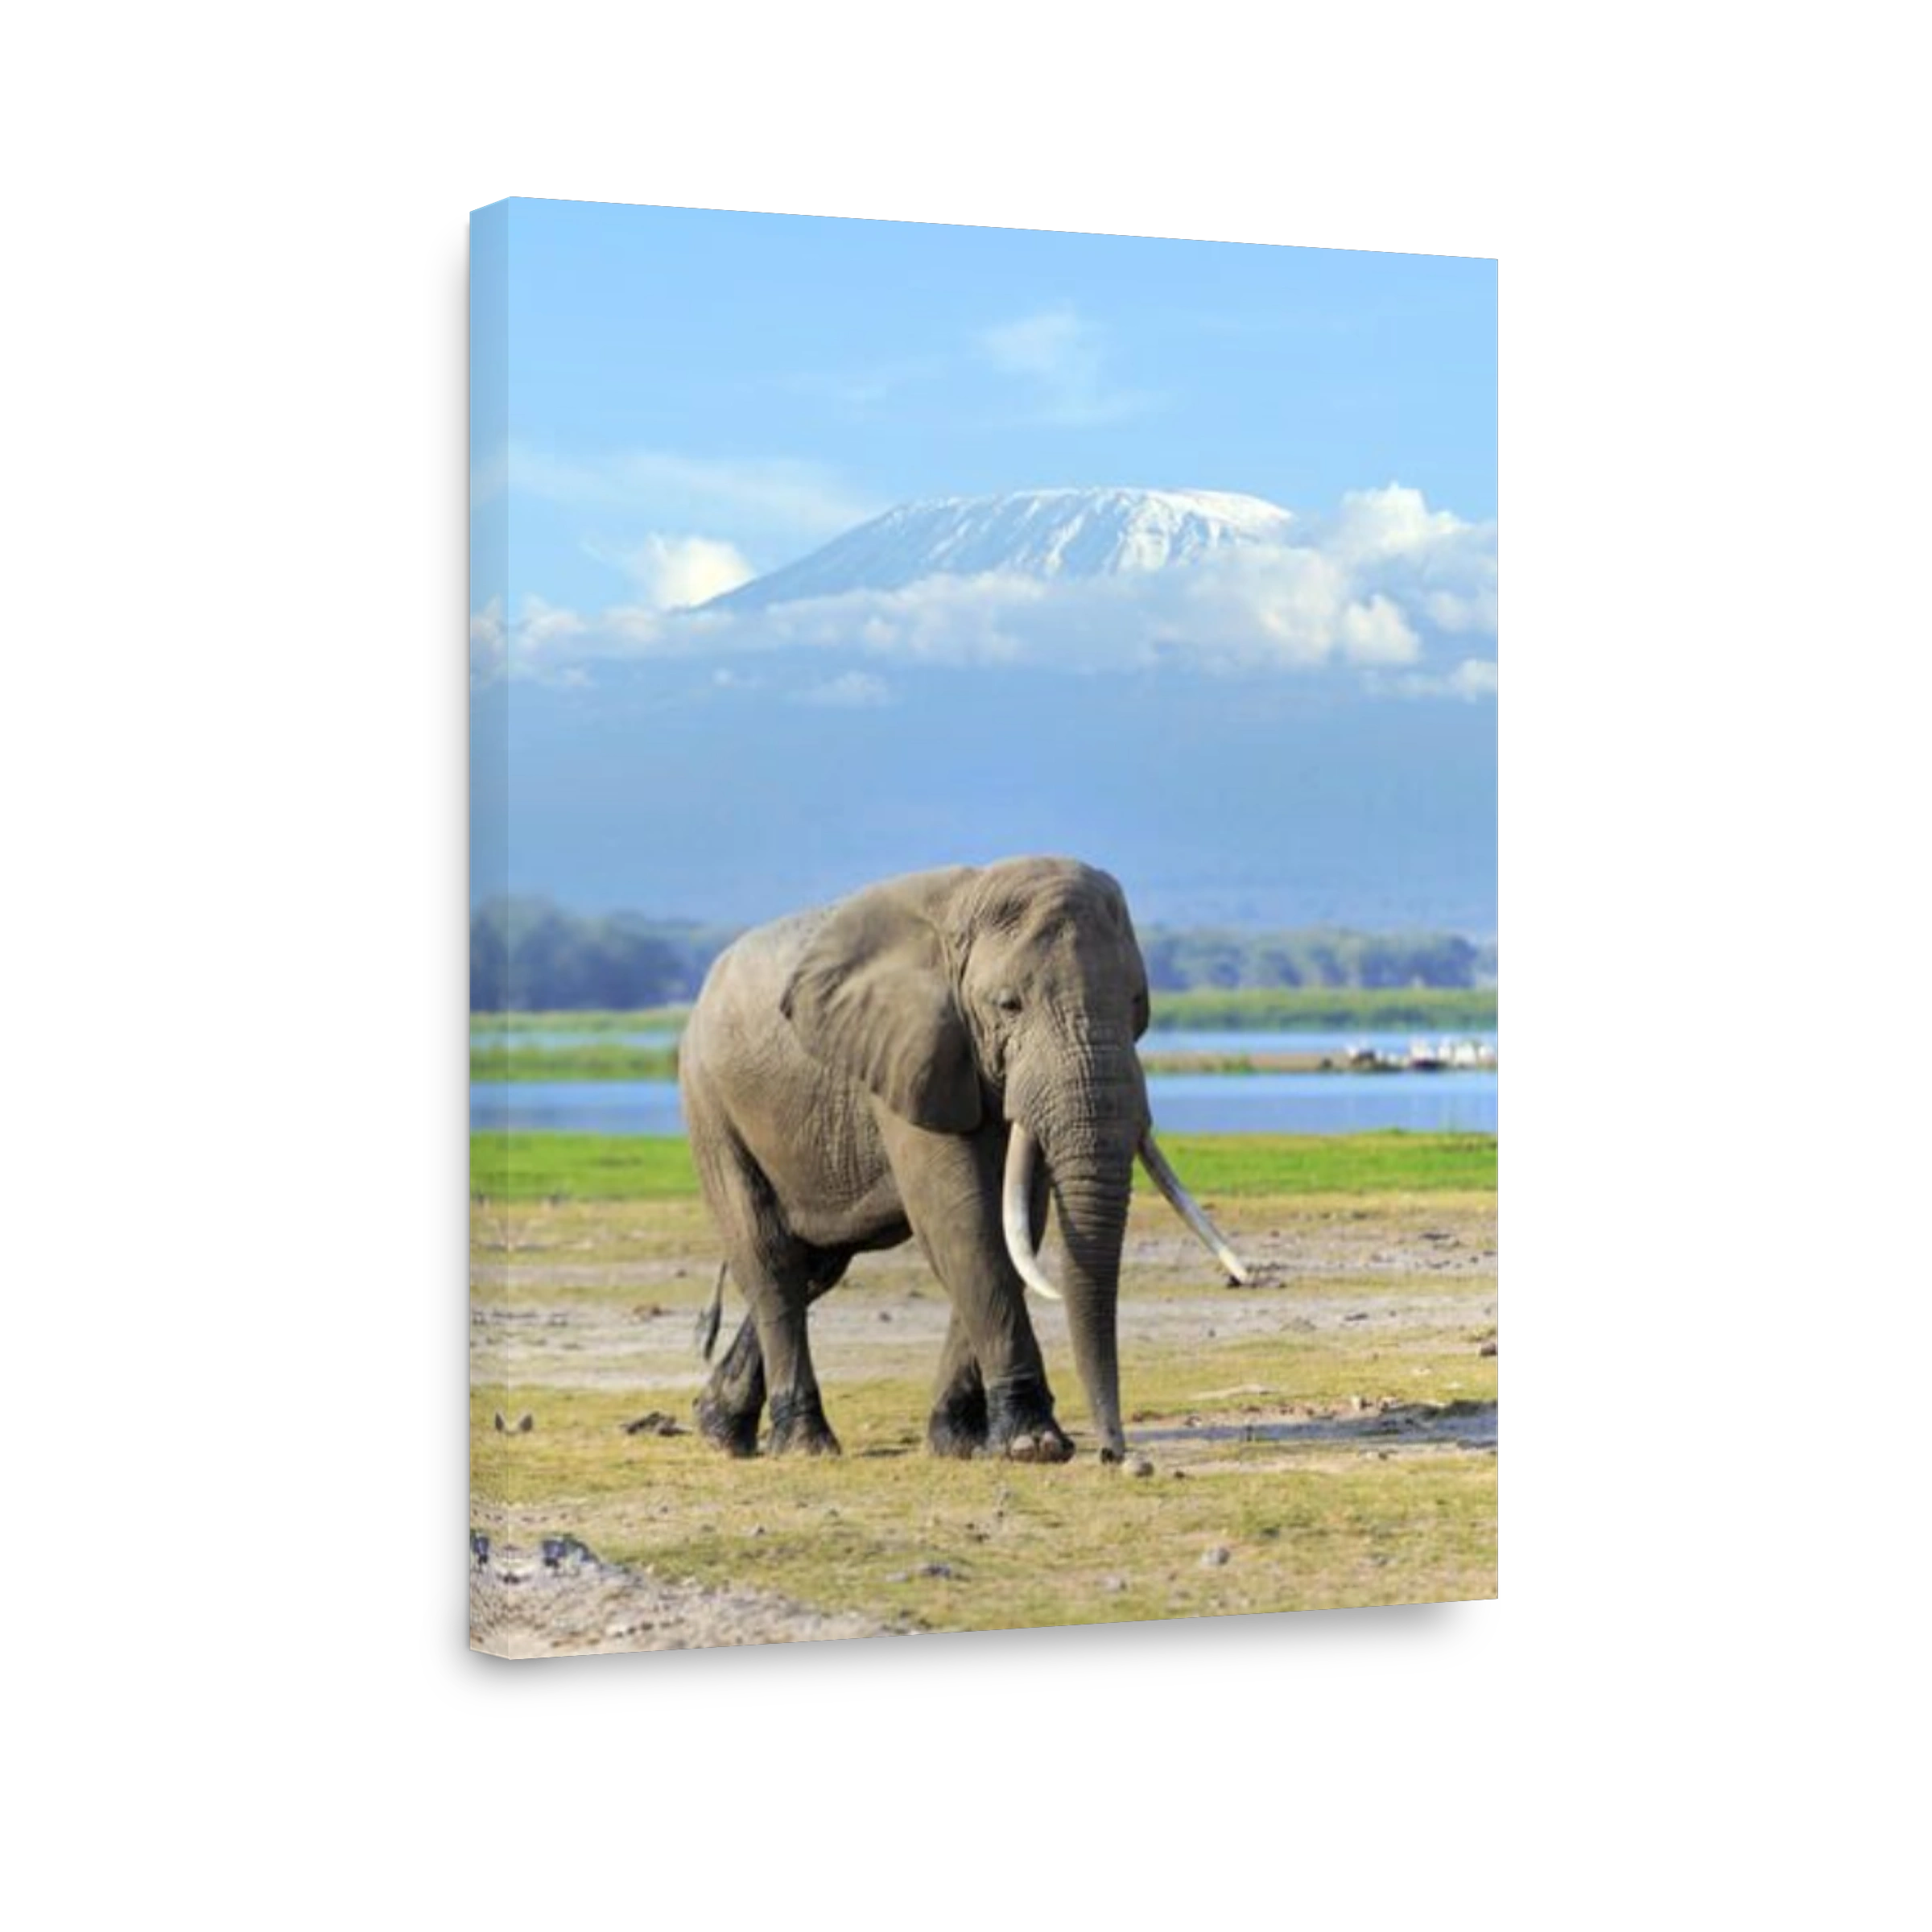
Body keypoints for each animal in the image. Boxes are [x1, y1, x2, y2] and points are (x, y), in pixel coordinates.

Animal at [677, 856, 1251, 1465]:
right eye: (1009, 1005)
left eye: (1137, 1005)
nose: (1113, 1453)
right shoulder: (913, 1052)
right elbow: (964, 1222)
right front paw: (1032, 1445)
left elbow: (1015, 1222)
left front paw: (959, 1442)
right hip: (711, 1100)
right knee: (770, 1258)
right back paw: (805, 1446)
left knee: (817, 1263)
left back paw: (718, 1428)